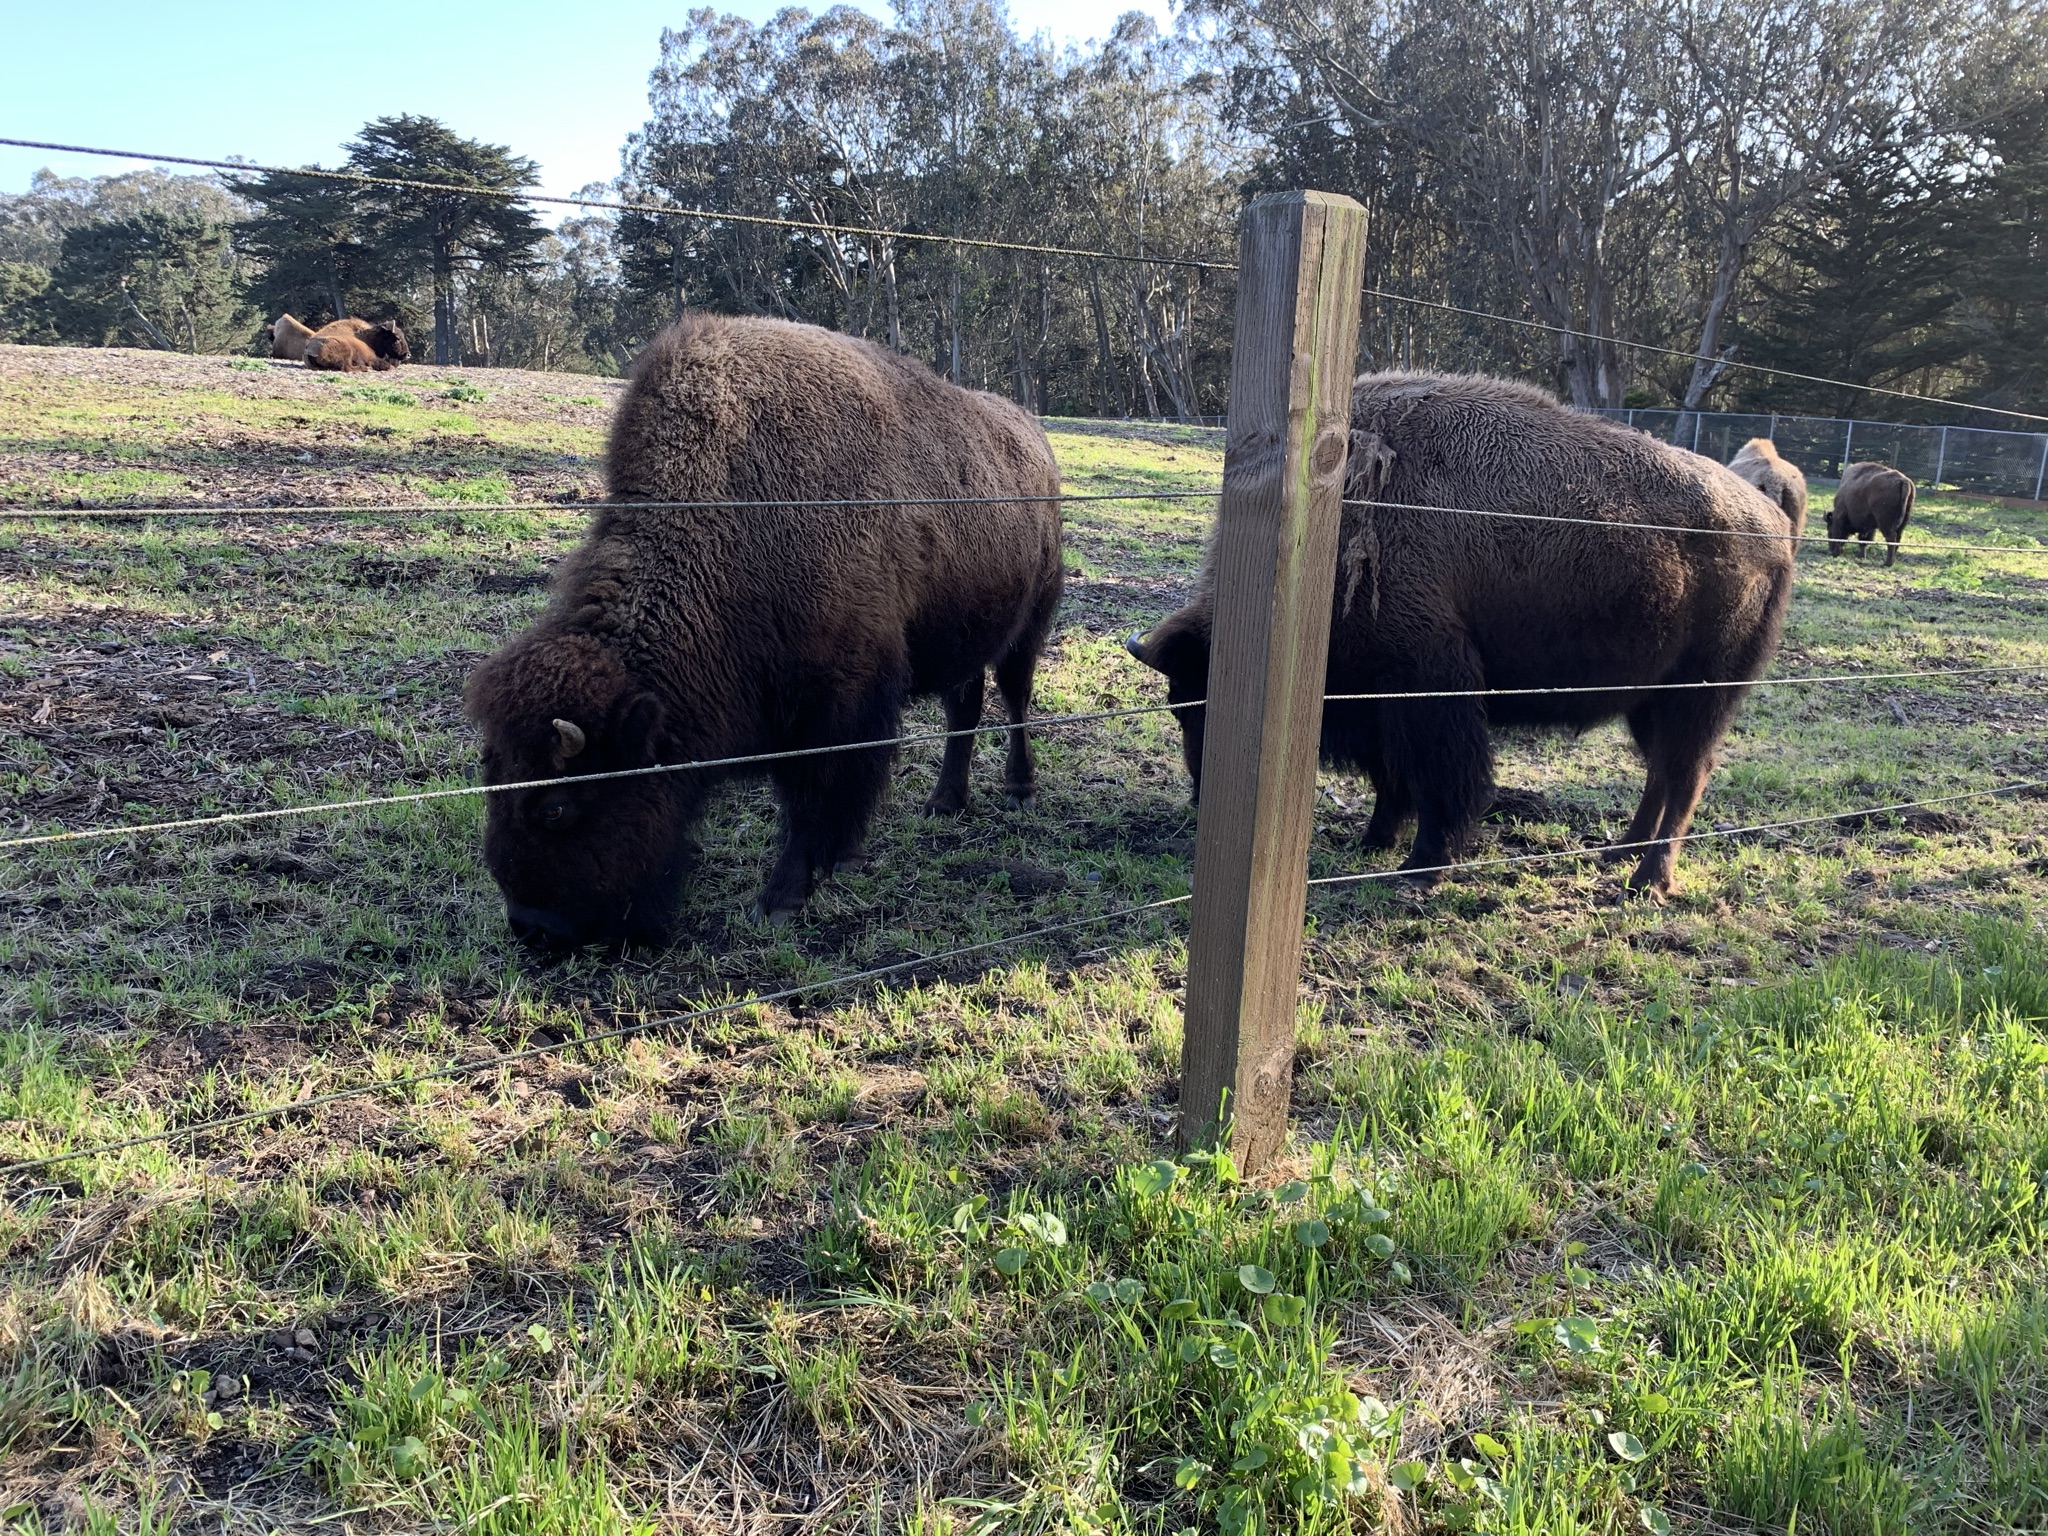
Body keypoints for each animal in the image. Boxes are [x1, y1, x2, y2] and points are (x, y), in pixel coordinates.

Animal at [464, 313, 1064, 950]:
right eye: (491, 781)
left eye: (556, 807)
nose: (533, 927)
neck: (737, 525)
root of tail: (1035, 437)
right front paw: (840, 860)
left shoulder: (834, 705)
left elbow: (812, 798)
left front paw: (780, 900)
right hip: (967, 639)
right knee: (964, 711)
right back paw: (944, 802)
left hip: (1029, 626)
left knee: (1015, 699)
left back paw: (1019, 790)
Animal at [1122, 370, 1794, 897]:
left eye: (1197, 703)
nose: (1201, 798)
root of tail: (1774, 525)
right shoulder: (1385, 702)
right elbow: (1393, 779)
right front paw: (1374, 843)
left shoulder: (1430, 689)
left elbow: (1441, 781)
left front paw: (1422, 865)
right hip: (1647, 700)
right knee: (1661, 775)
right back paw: (1619, 852)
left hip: (1698, 696)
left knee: (1683, 778)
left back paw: (1645, 881)